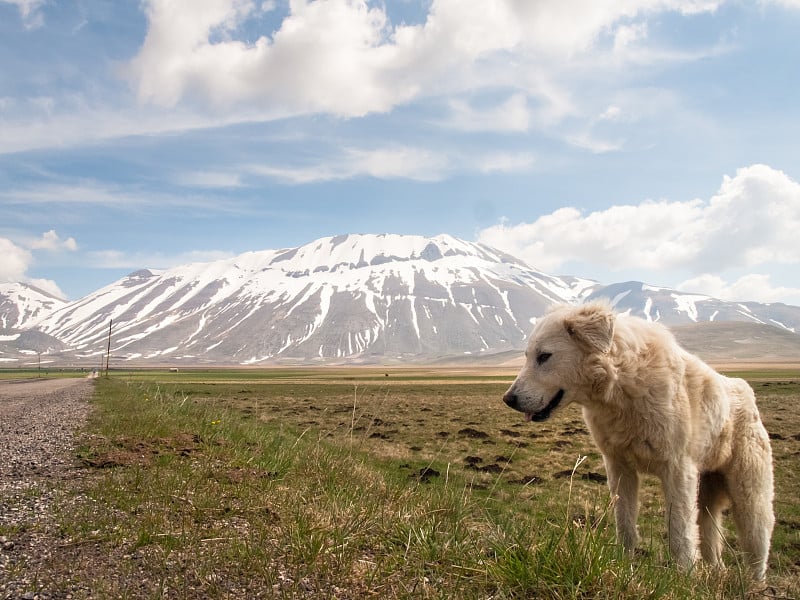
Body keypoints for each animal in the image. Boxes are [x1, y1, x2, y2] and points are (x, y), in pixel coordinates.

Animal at [504, 302, 772, 580]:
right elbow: (625, 525)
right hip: (707, 491)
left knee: (757, 538)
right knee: (710, 535)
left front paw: (683, 577)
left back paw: (755, 582)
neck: (622, 385)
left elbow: (680, 531)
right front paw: (624, 567)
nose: (508, 399)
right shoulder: (619, 466)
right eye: (527, 356)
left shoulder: (677, 469)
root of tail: (745, 390)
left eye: (544, 356)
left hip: (749, 491)